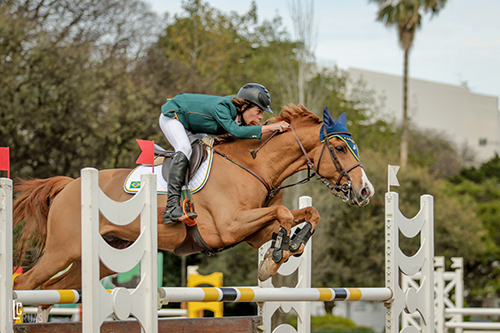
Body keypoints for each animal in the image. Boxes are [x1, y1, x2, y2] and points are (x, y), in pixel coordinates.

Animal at [11, 102, 374, 292]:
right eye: (340, 147)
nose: (365, 191)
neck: (253, 165)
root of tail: (69, 185)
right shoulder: (229, 227)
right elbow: (284, 215)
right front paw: (277, 256)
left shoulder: (252, 232)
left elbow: (308, 216)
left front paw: (283, 251)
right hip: (61, 251)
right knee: (26, 284)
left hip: (101, 257)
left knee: (53, 290)